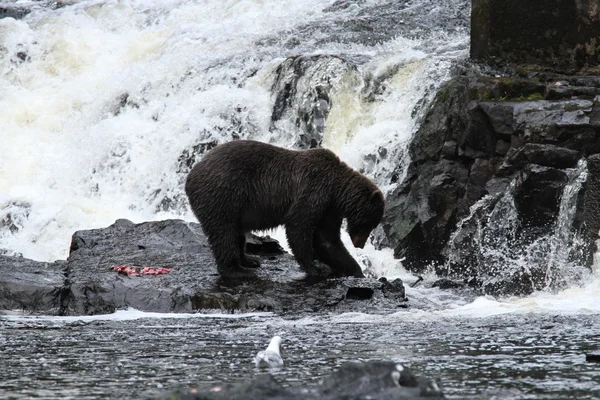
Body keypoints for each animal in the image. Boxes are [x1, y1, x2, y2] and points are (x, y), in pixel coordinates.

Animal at [185, 140, 386, 278]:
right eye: (370, 223)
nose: (360, 244)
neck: (336, 191)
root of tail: (190, 175)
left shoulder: (329, 209)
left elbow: (327, 240)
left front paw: (355, 270)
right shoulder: (313, 191)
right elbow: (298, 227)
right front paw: (315, 268)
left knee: (236, 233)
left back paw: (250, 260)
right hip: (223, 194)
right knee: (223, 233)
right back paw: (237, 270)